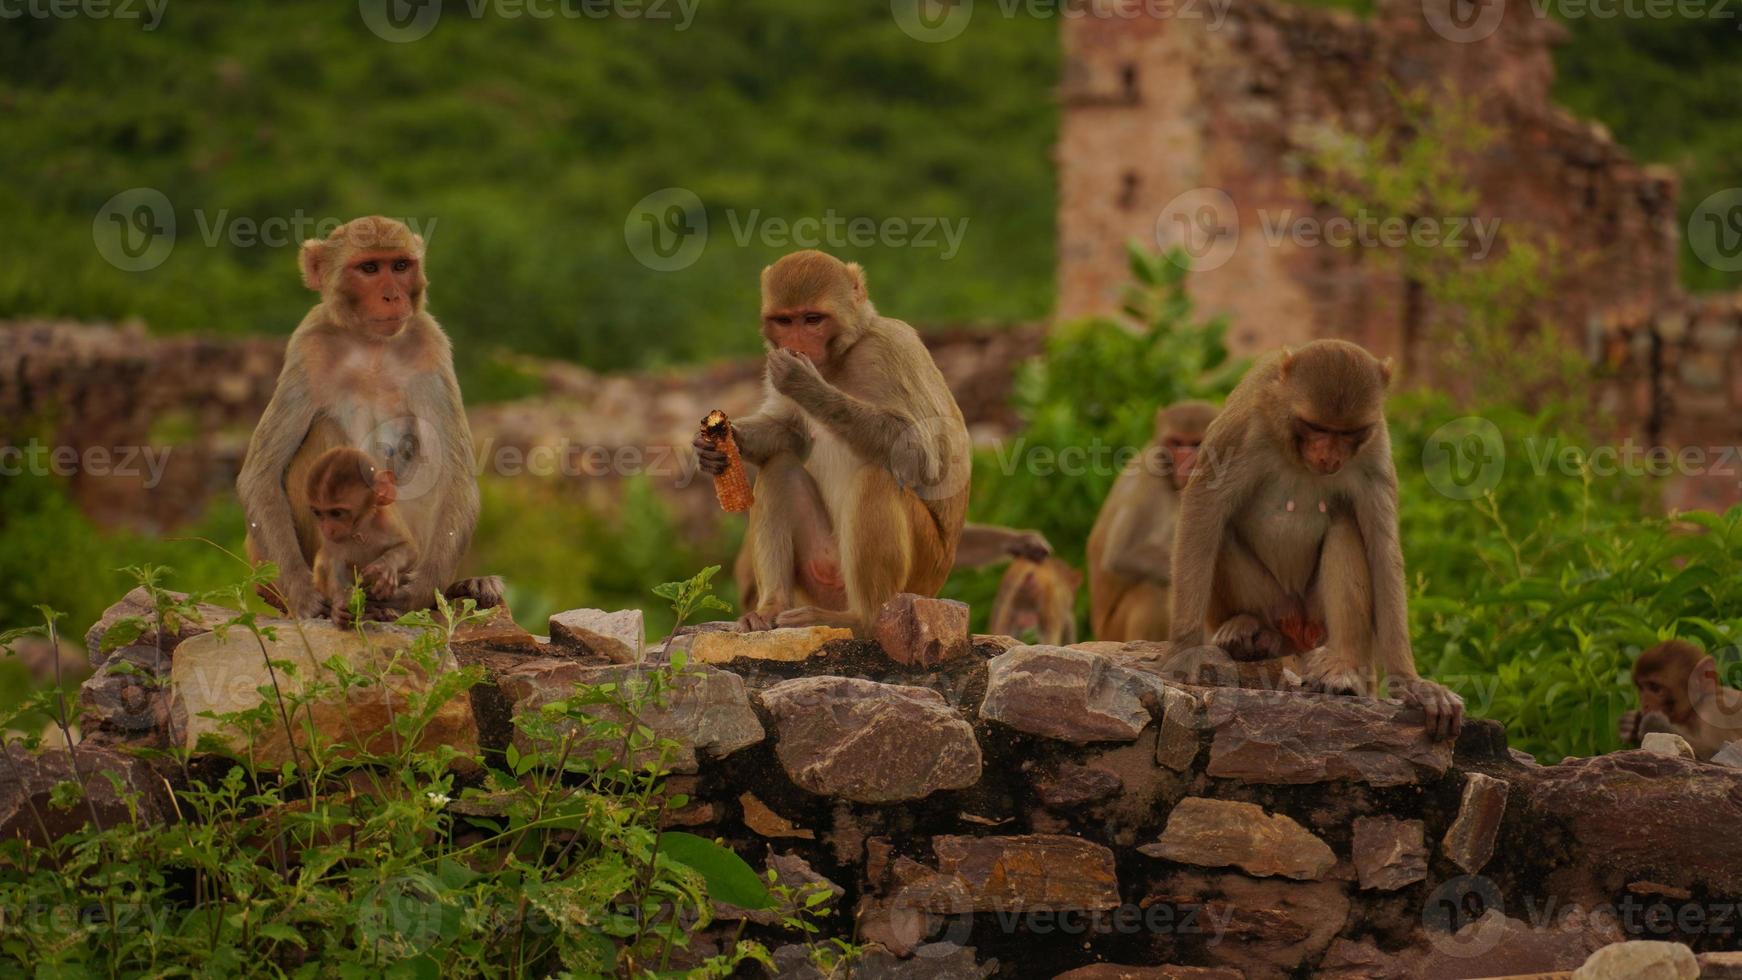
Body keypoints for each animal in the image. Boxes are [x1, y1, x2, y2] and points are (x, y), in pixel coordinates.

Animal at [303, 445, 418, 619]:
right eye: (318, 513)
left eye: (336, 513)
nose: (327, 529)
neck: (359, 529)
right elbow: (333, 562)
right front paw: (341, 605)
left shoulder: (386, 519)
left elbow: (409, 548)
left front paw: (386, 565)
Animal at [689, 250, 968, 637]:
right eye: (785, 320)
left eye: (812, 319)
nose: (797, 345)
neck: (842, 356)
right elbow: (790, 432)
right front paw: (716, 446)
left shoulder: (891, 348)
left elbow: (923, 458)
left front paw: (803, 382)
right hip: (821, 574)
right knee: (780, 467)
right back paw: (770, 608)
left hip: (920, 576)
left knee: (877, 477)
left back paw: (861, 619)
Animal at [1087, 400, 1212, 644]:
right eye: (1176, 443)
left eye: (1195, 443)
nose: (1185, 462)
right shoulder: (1147, 478)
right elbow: (1123, 555)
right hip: (1113, 630)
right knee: (1153, 589)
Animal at [1170, 341, 1470, 741]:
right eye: (1315, 426)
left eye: (1349, 432)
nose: (1329, 457)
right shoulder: (1242, 427)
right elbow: (1205, 507)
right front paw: (1185, 647)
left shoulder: (1374, 447)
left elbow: (1381, 546)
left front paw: (1412, 683)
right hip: (1276, 603)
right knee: (1223, 528)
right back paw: (1249, 630)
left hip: (1316, 617)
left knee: (1346, 525)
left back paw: (1342, 668)